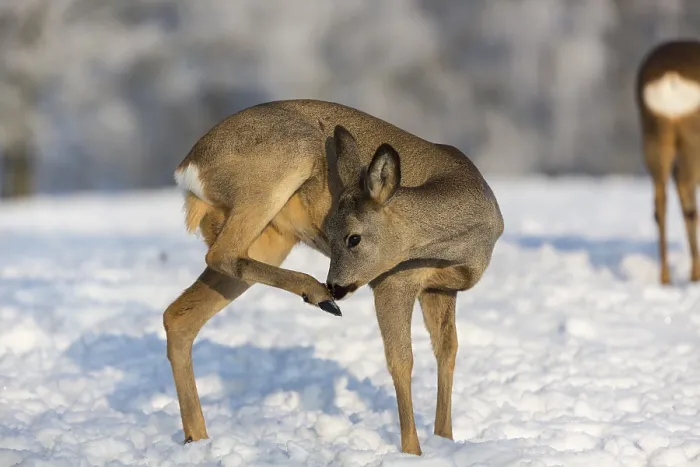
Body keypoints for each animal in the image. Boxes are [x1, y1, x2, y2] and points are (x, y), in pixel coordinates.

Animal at [163, 99, 504, 456]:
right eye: (330, 231)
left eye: (353, 238)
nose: (336, 285)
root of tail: (188, 168)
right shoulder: (393, 280)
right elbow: (401, 360)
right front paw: (414, 452)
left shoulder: (442, 288)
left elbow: (447, 351)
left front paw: (446, 440)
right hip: (281, 166)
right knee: (220, 255)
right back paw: (317, 294)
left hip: (271, 238)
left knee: (179, 315)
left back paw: (197, 439)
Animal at [636, 39, 700, 285]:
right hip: (691, 138)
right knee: (687, 195)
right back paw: (694, 275)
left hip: (655, 134)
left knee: (660, 202)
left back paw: (665, 278)